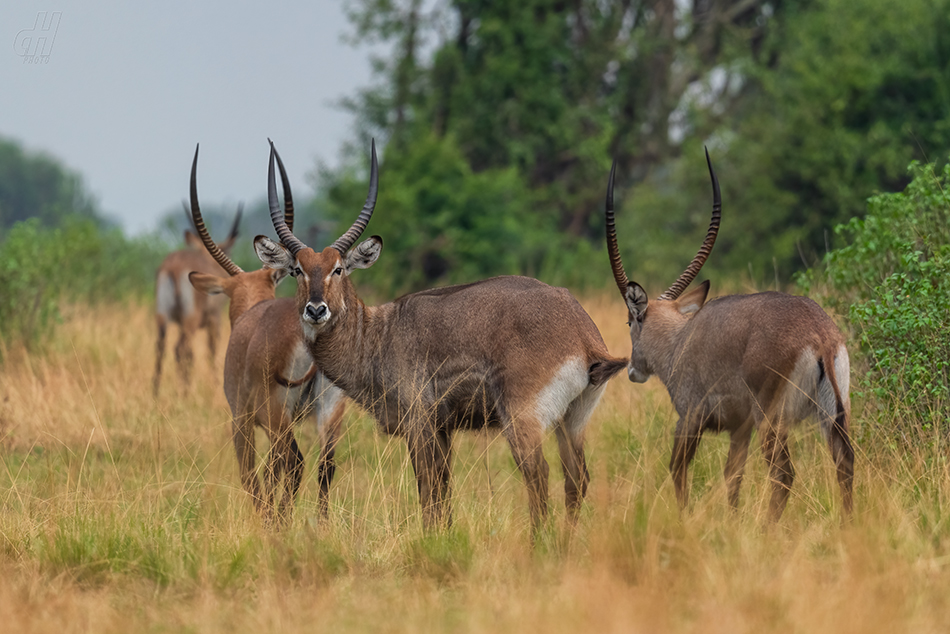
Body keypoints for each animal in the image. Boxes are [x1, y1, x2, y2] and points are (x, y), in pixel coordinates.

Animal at [152, 198, 242, 396]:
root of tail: (173, 266)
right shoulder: (214, 319)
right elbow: (212, 351)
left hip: (163, 318)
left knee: (161, 348)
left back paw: (156, 395)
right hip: (191, 319)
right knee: (181, 349)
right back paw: (184, 394)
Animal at [185, 146, 346, 520]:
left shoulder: (241, 421)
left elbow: (252, 474)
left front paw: (264, 517)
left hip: (276, 417)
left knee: (293, 463)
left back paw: (280, 521)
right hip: (328, 413)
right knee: (324, 465)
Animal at [253, 141, 628, 532]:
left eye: (338, 269)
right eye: (297, 270)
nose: (316, 310)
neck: (376, 335)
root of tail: (583, 333)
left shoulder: (420, 425)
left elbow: (428, 489)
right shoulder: (444, 430)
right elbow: (444, 491)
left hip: (523, 420)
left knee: (538, 475)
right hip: (572, 420)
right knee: (577, 479)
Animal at [608, 149, 860, 520]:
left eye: (629, 322)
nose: (632, 371)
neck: (680, 341)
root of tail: (820, 334)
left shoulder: (690, 418)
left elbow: (678, 469)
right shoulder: (740, 428)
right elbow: (732, 475)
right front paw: (732, 521)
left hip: (772, 421)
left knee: (783, 474)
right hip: (833, 416)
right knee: (844, 462)